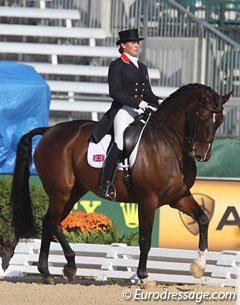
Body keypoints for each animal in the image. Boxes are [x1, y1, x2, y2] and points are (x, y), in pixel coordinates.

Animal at [10, 82, 231, 284]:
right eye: (203, 118)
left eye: (220, 120)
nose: (202, 155)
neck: (168, 145)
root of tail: (49, 130)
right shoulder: (148, 199)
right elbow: (145, 239)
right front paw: (144, 276)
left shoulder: (179, 197)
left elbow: (203, 219)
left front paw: (199, 267)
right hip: (60, 192)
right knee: (52, 222)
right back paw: (64, 267)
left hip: (73, 192)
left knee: (50, 221)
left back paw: (51, 271)